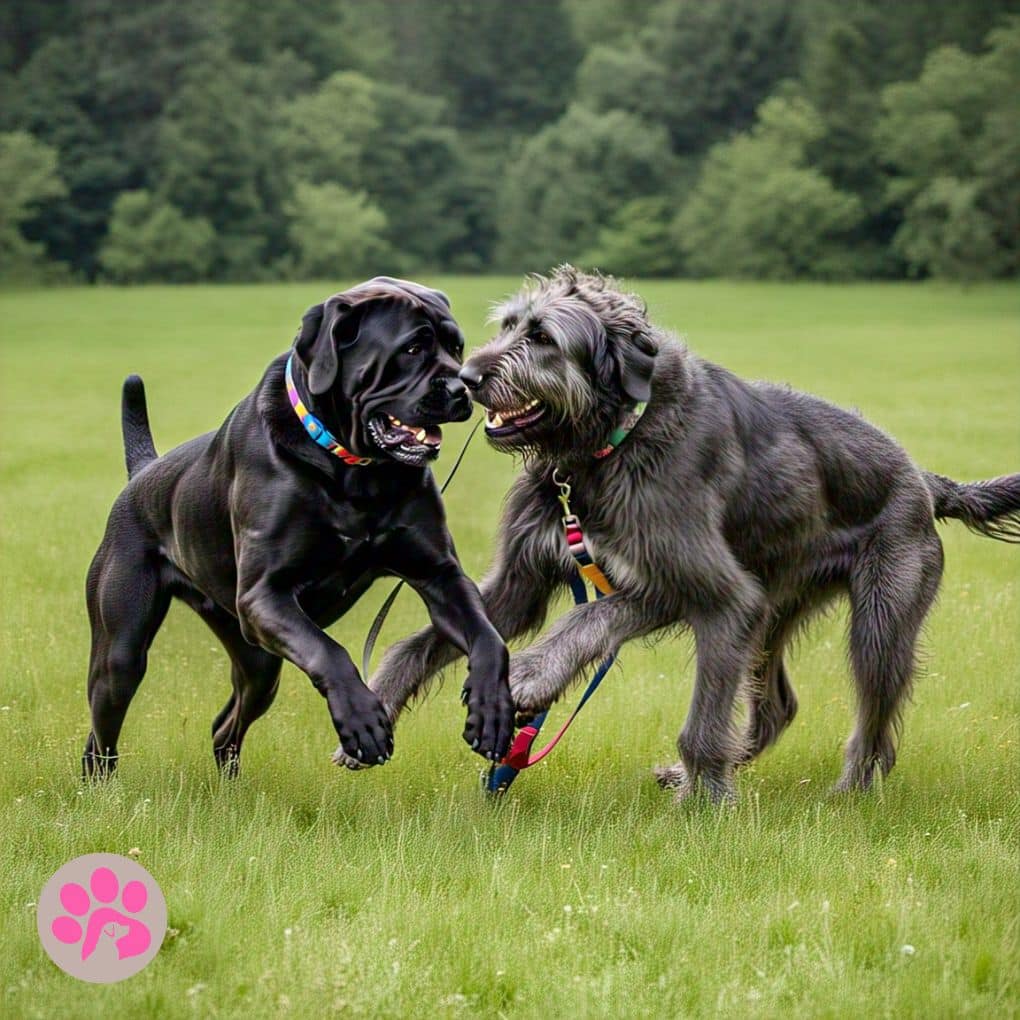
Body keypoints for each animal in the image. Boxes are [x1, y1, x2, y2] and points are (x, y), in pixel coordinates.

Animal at [80, 275, 514, 775]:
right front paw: (363, 720)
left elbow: (488, 637)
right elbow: (332, 651)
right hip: (123, 650)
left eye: (456, 346)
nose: (465, 387)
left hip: (257, 660)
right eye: (411, 349)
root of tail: (143, 473)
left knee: (225, 726)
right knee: (102, 730)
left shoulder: (439, 574)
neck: (351, 469)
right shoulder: (265, 594)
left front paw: (492, 709)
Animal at [344, 267, 1020, 799]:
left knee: (874, 722)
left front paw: (706, 805)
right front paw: (378, 699)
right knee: (778, 707)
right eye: (508, 325)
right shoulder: (524, 584)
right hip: (775, 610)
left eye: (543, 338)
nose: (466, 379)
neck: (607, 446)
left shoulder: (710, 591)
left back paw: (845, 793)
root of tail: (924, 480)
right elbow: (425, 642)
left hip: (877, 621)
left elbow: (633, 656)